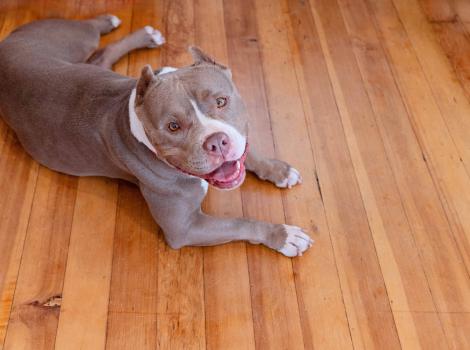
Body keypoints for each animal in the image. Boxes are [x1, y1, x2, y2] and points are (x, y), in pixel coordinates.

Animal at [0, 14, 316, 258]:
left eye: (221, 101)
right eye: (173, 126)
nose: (216, 142)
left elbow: (246, 154)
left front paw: (277, 169)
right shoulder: (185, 229)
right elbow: (239, 223)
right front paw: (282, 235)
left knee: (102, 53)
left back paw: (143, 34)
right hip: (73, 40)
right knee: (90, 32)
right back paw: (108, 22)